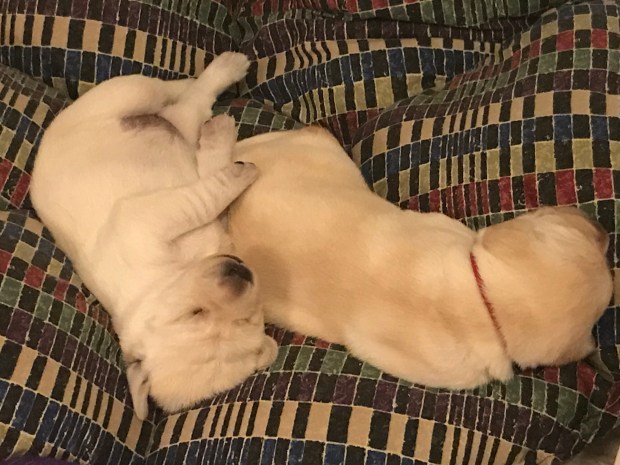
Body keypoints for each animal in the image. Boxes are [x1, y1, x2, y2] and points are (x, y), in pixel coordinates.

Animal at [30, 53, 278, 420]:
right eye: (195, 314)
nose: (238, 273)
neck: (169, 275)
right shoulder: (149, 218)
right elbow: (207, 193)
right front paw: (238, 170)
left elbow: (210, 184)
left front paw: (227, 158)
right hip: (133, 98)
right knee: (191, 103)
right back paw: (221, 86)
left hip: (126, 93)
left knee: (180, 96)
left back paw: (218, 78)